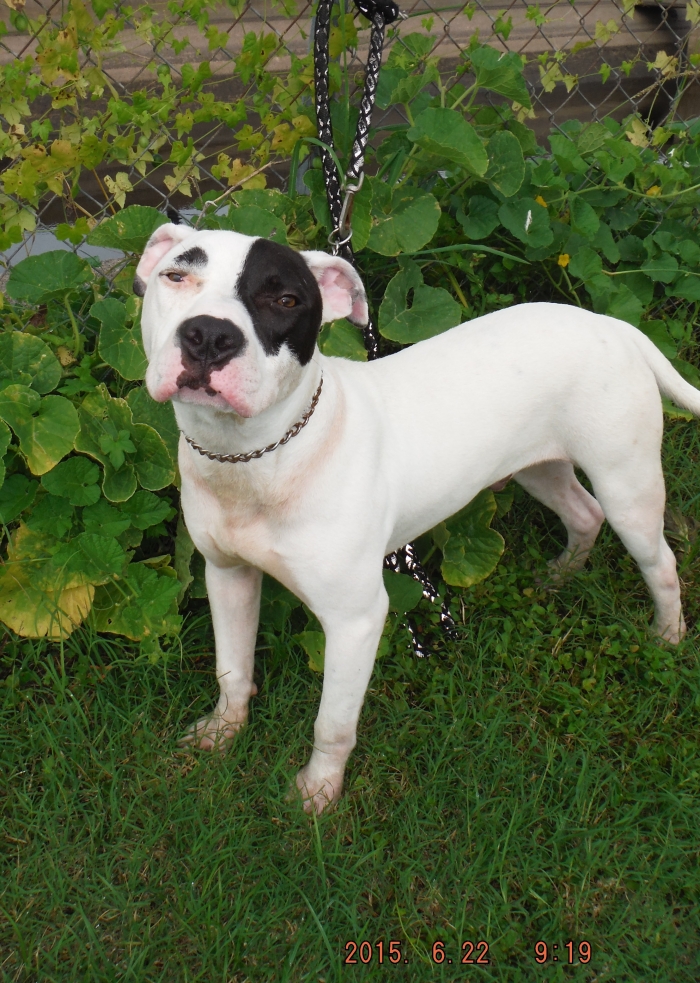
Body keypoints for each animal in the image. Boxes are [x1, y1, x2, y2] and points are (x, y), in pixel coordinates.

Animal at [138, 223, 700, 816]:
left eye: (285, 300)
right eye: (176, 275)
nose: (208, 336)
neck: (256, 458)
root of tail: (611, 323)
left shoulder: (356, 621)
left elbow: (332, 724)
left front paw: (318, 793)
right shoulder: (227, 576)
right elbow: (232, 667)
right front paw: (222, 732)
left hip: (627, 486)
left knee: (659, 561)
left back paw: (666, 636)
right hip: (538, 467)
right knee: (583, 514)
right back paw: (560, 576)